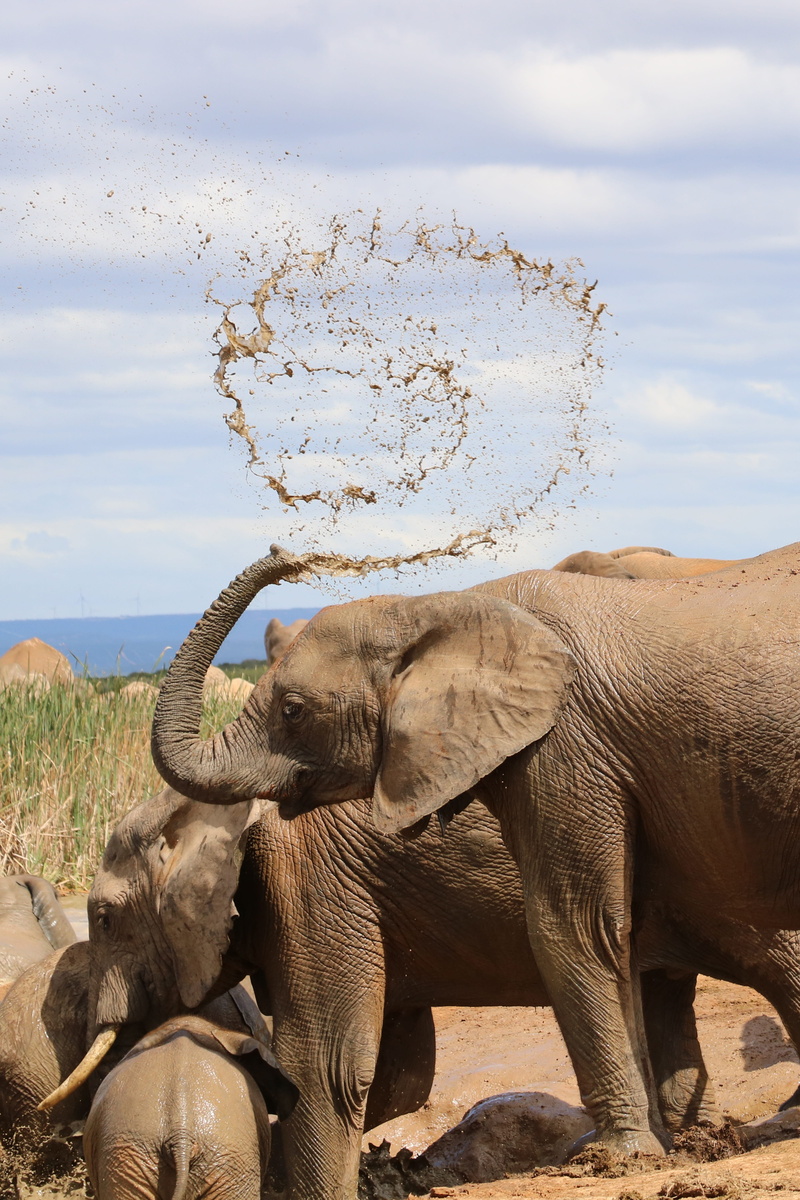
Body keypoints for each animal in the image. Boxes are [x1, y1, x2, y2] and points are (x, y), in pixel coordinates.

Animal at [138, 540, 800, 1161]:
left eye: (293, 710)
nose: (284, 554)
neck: (445, 606)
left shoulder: (565, 745)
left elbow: (572, 927)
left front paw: (618, 1158)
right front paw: (655, 1146)